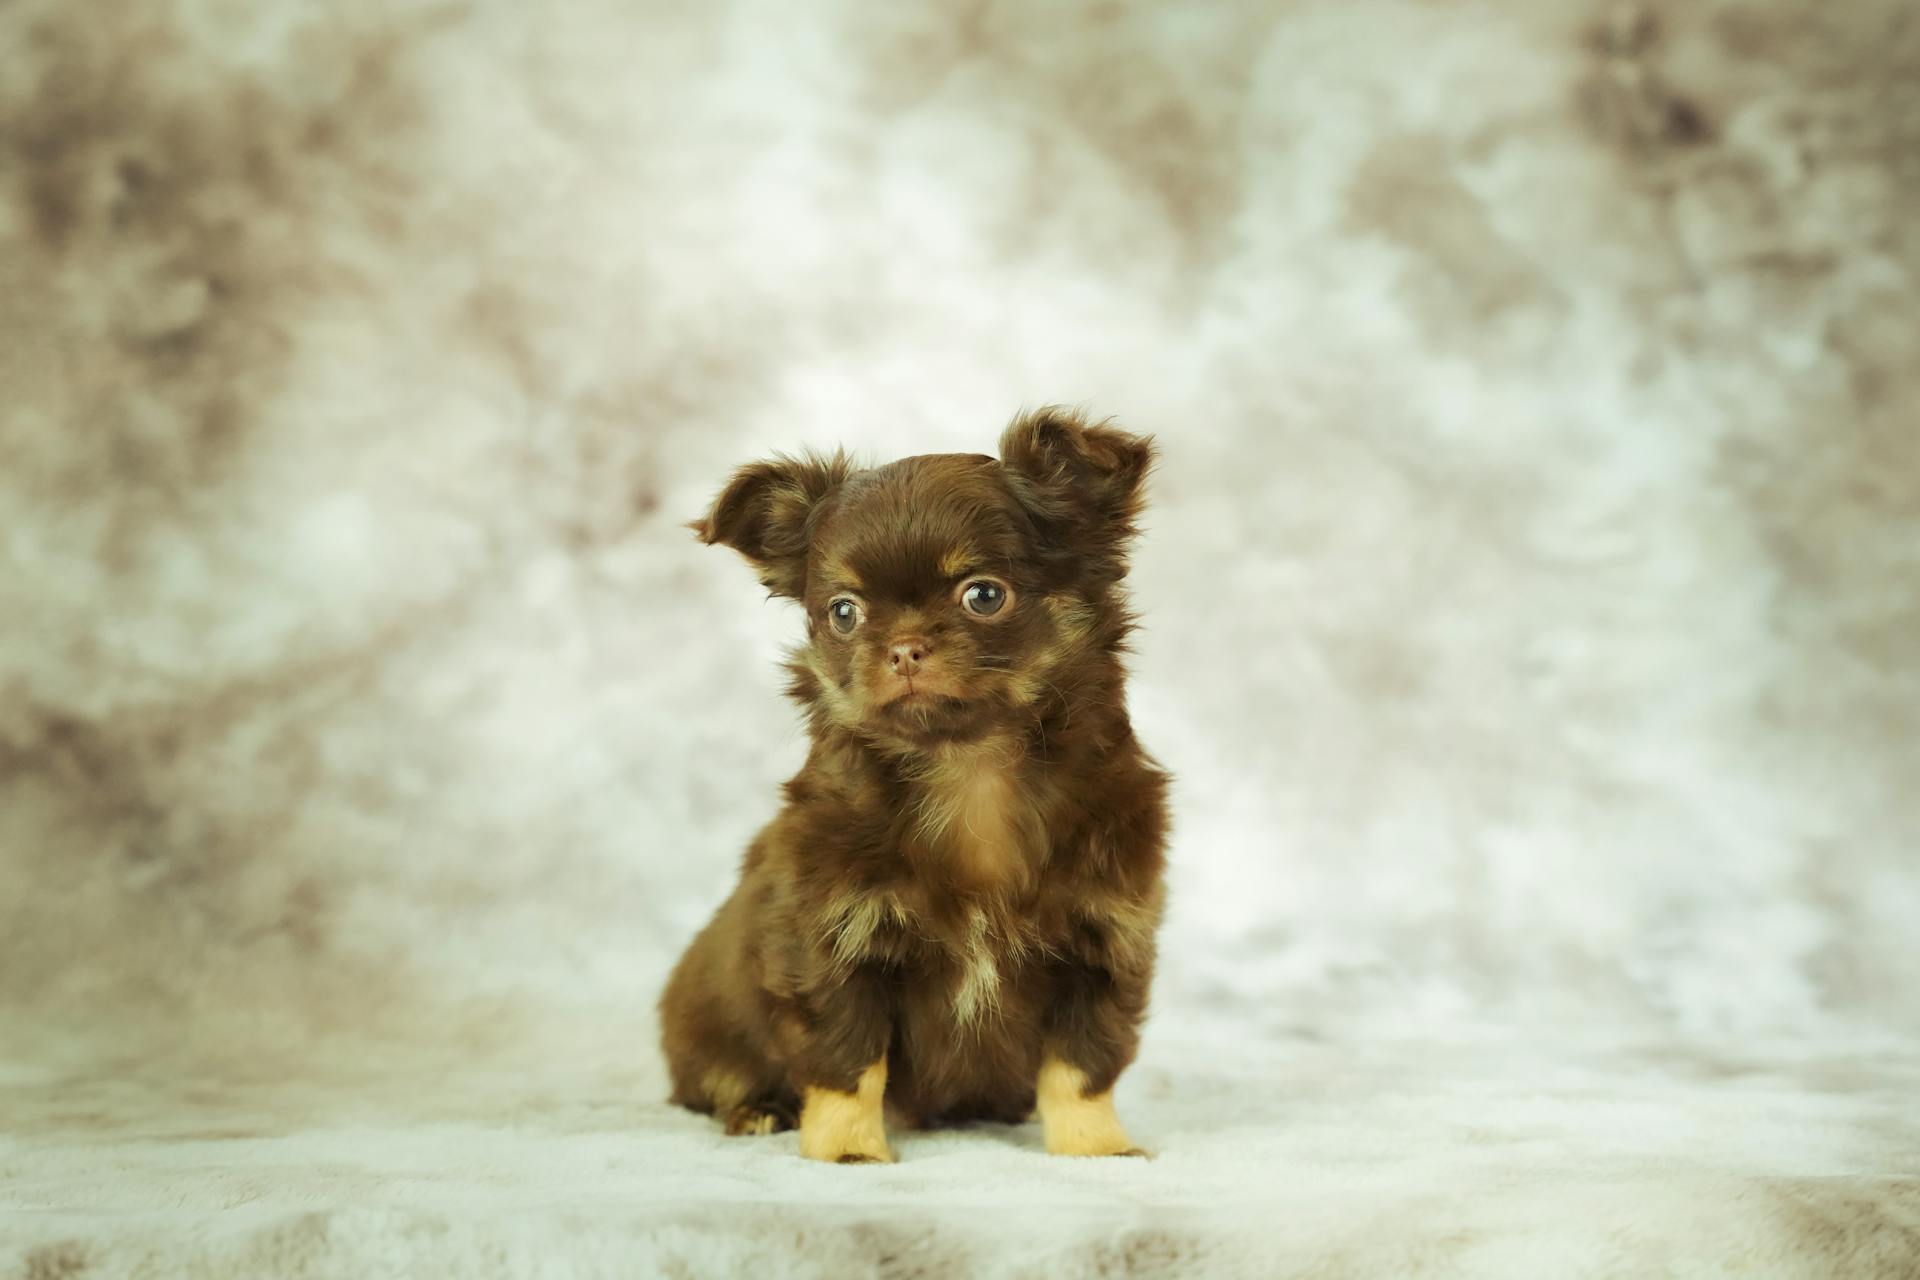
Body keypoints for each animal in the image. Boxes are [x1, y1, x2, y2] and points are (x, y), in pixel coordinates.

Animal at [660, 408, 1167, 1159]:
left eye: (983, 595)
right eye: (843, 612)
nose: (902, 649)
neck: (968, 766)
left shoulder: (1103, 945)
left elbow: (1080, 1065)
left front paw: (1095, 1148)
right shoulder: (829, 945)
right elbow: (848, 1061)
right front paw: (847, 1150)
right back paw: (759, 1109)